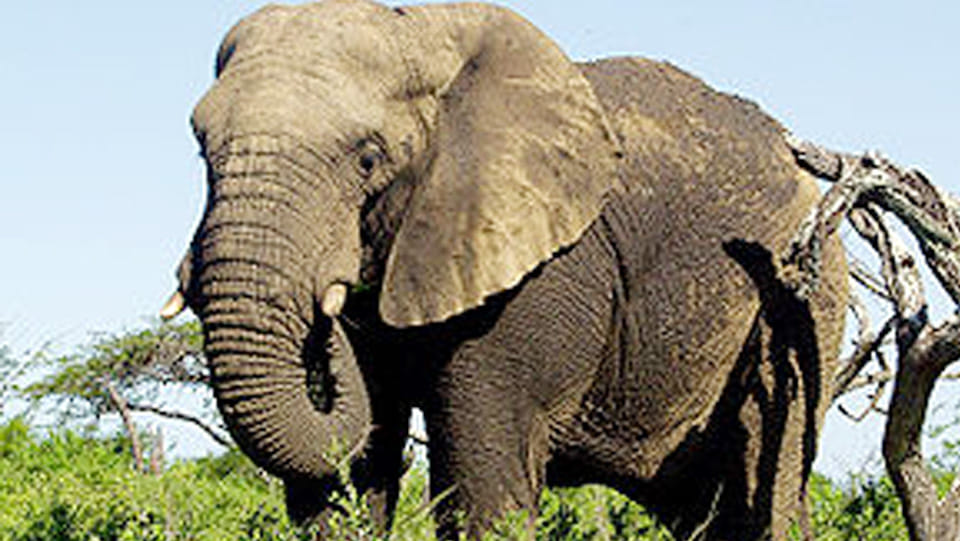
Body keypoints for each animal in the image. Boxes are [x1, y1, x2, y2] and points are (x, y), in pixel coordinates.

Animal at [162, 0, 848, 538]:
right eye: (200, 149)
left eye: (368, 158)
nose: (329, 311)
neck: (427, 38)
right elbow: (344, 471)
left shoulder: (535, 273)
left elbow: (481, 477)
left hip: (805, 301)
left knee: (767, 474)